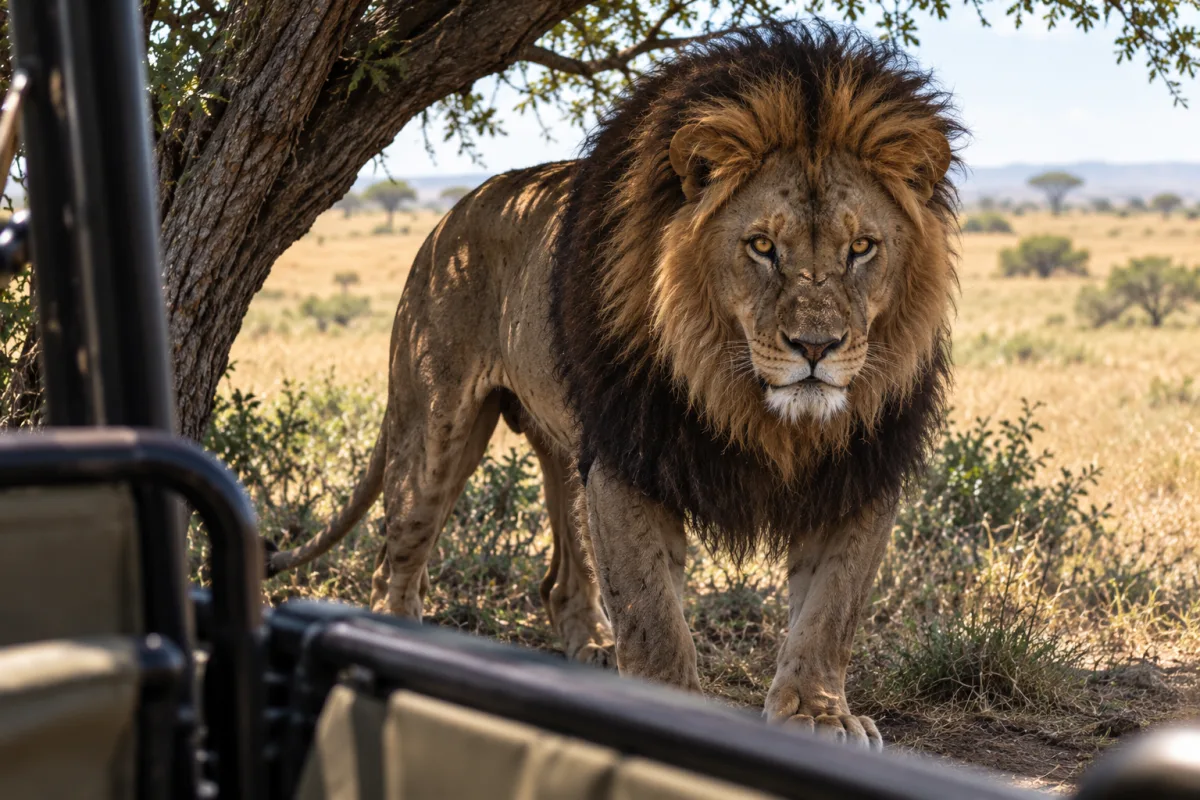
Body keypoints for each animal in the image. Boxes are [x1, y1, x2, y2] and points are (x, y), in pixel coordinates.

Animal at [266, 22, 962, 750]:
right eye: (762, 247)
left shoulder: (861, 469)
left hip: (562, 442)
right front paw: (667, 705)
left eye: (862, 248)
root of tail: (454, 213)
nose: (817, 348)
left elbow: (831, 609)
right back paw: (397, 638)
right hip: (435, 424)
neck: (751, 402)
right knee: (395, 555)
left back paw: (591, 649)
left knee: (562, 572)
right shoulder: (633, 457)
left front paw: (819, 715)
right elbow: (652, 611)